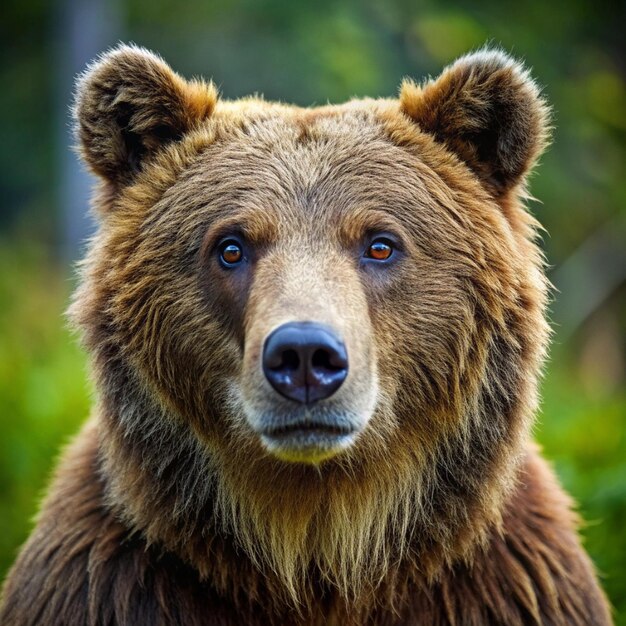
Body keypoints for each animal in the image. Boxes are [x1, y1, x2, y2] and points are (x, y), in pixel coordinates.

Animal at [0, 45, 608, 624]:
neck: (313, 547)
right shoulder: (109, 583)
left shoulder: (506, 585)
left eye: (380, 243)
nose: (305, 355)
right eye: (231, 246)